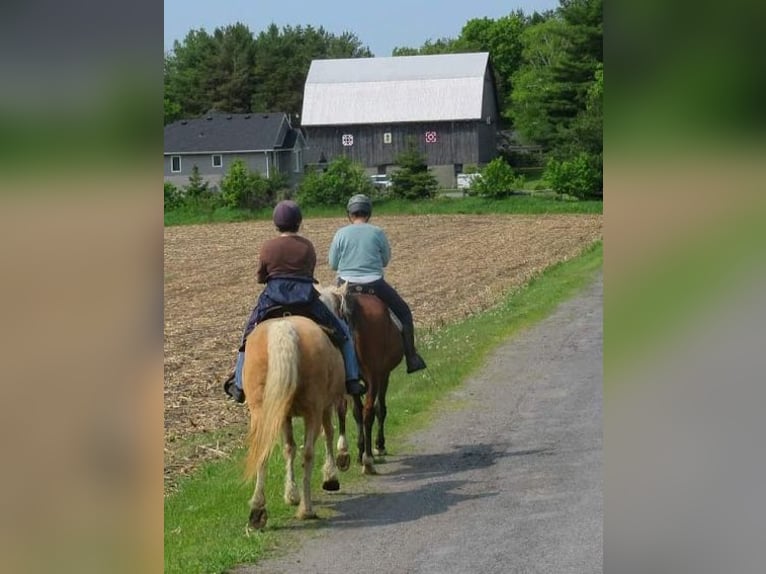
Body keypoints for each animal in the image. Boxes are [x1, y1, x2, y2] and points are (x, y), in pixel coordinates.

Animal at [243, 316, 348, 532]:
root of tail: (284, 327)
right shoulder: (326, 406)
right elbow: (328, 434)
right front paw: (330, 476)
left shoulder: (283, 415)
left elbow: (289, 448)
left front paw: (291, 494)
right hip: (313, 411)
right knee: (308, 452)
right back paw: (306, 509)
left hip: (263, 412)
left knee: (262, 451)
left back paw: (258, 510)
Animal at [318, 284, 404, 476]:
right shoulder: (381, 375)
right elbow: (377, 409)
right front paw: (377, 447)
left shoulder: (355, 383)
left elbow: (356, 412)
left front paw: (359, 451)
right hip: (375, 377)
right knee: (369, 412)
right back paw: (368, 459)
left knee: (357, 412)